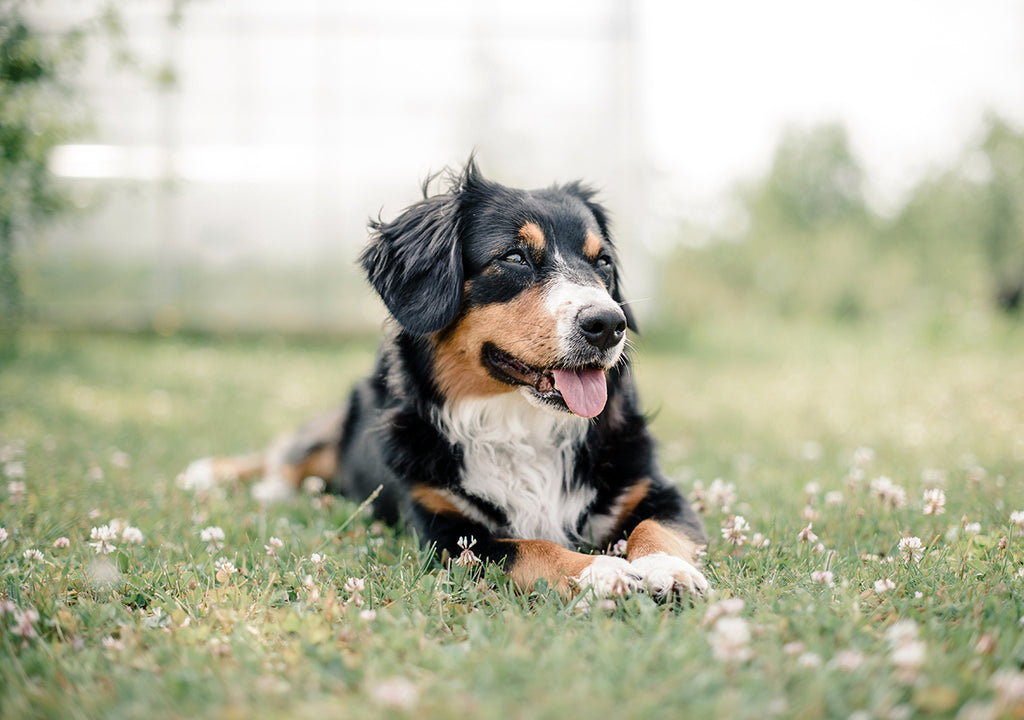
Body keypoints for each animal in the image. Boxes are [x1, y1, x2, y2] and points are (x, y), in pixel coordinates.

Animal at [184, 158, 708, 602]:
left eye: (603, 263)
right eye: (515, 257)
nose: (608, 324)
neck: (519, 426)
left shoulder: (654, 488)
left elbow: (656, 528)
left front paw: (666, 569)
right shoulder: (448, 532)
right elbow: (531, 548)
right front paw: (600, 571)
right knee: (287, 454)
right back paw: (226, 476)